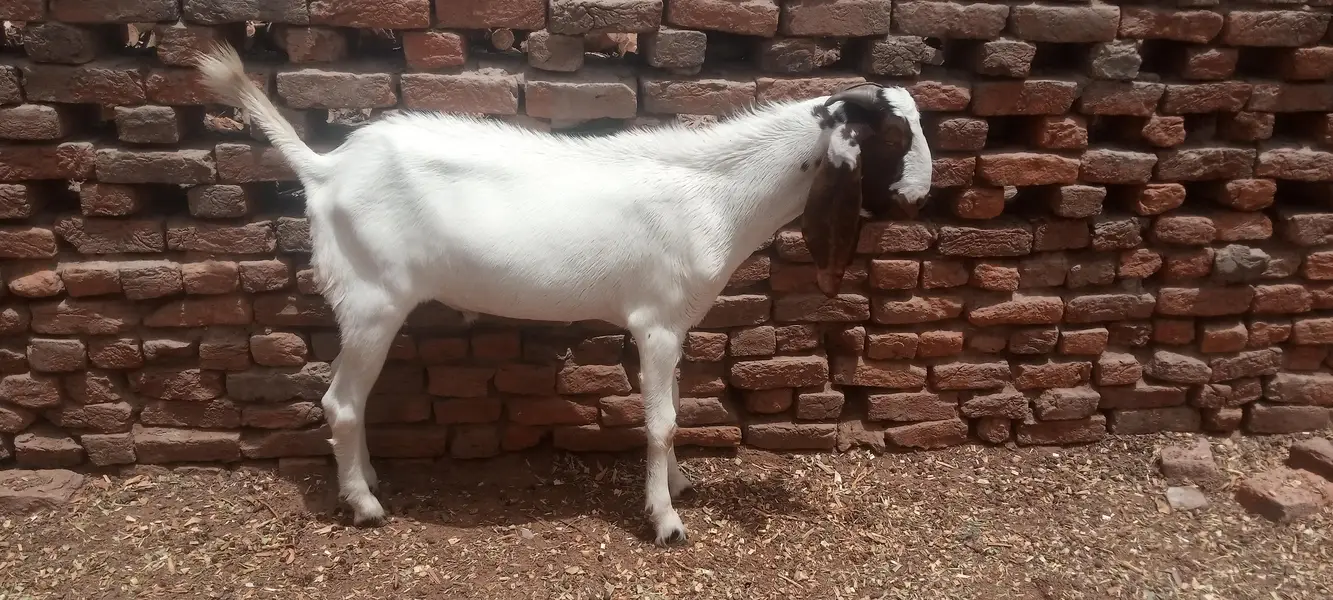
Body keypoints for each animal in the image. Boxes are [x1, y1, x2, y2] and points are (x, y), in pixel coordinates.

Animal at [195, 42, 932, 545]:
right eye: (894, 136)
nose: (920, 196)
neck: (714, 194)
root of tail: (327, 169)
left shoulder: (675, 324)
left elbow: (672, 411)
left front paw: (678, 483)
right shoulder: (655, 322)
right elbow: (662, 420)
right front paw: (665, 520)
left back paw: (370, 481)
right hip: (371, 300)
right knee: (341, 402)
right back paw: (366, 506)